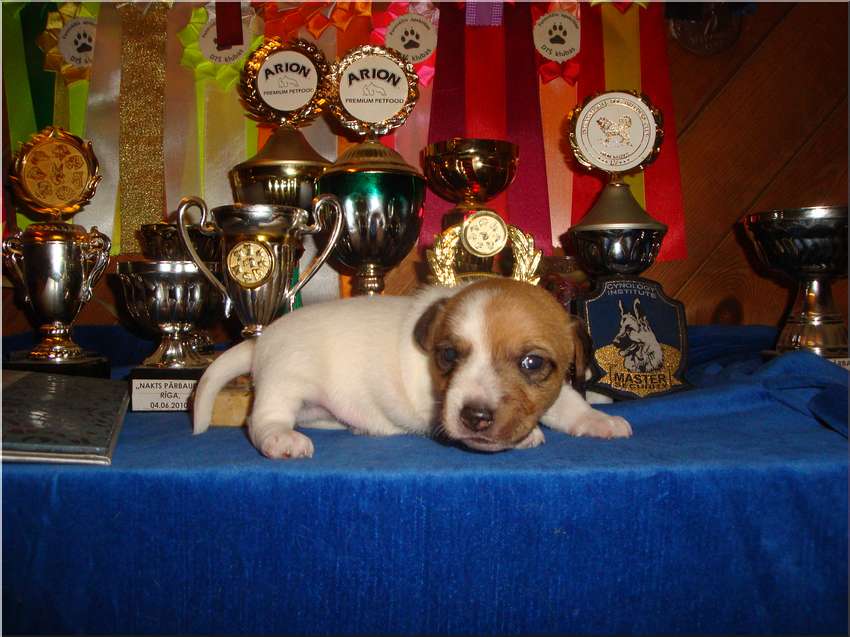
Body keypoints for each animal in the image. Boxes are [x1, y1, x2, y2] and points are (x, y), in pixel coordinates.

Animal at [192, 279, 632, 459]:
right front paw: (529, 436)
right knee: (263, 420)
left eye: (532, 363)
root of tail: (260, 339)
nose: (474, 417)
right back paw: (281, 438)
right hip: (286, 382)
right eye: (449, 356)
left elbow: (567, 402)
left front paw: (596, 419)